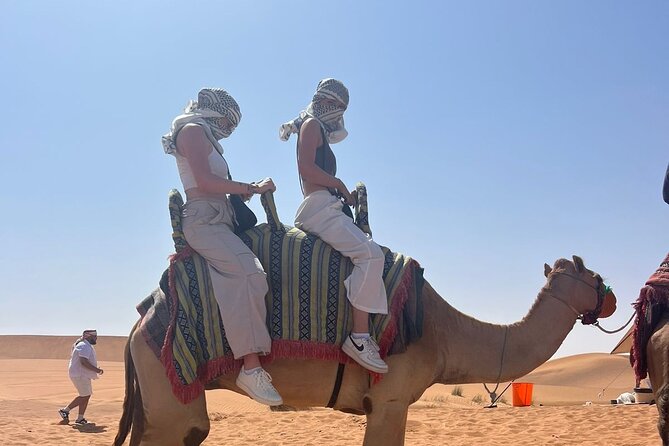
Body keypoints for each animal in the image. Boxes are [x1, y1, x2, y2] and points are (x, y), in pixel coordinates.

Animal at [113, 255, 615, 446]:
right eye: (592, 274)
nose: (611, 299)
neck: (444, 332)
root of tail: (141, 320)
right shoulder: (390, 398)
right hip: (169, 380)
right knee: (183, 430)